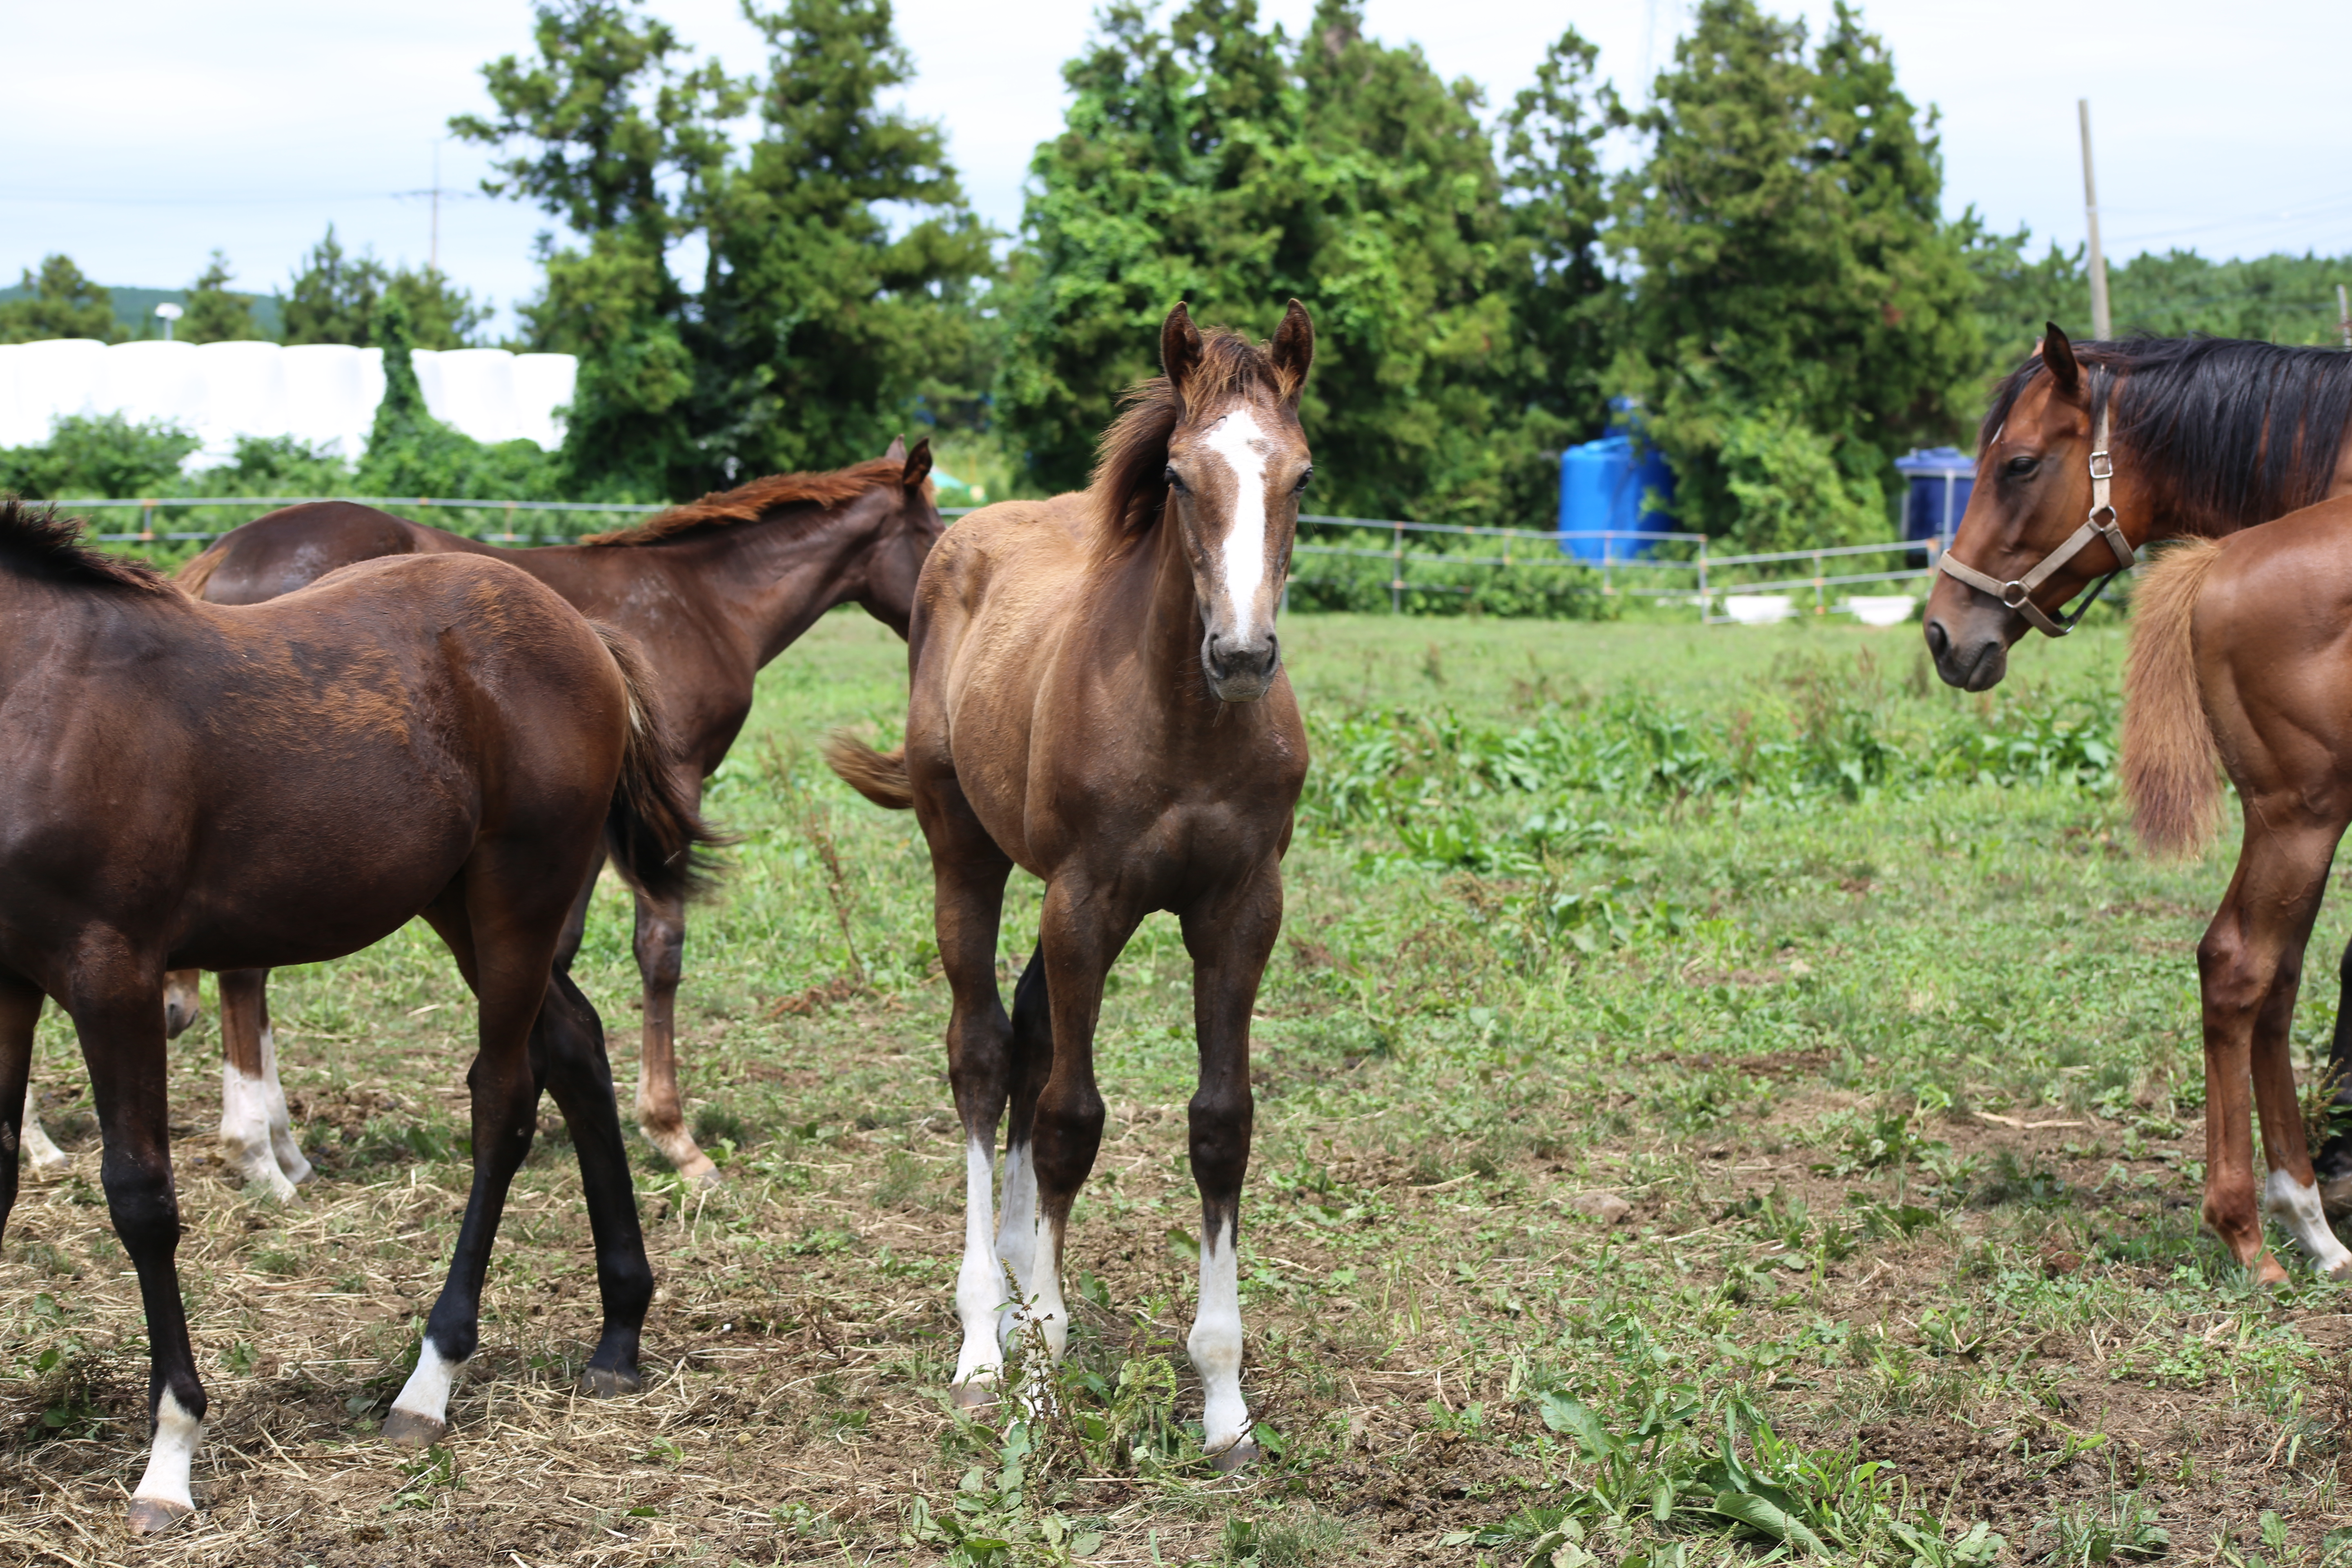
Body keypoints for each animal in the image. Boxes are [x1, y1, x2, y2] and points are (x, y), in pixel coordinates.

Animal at [0, 503, 715, 1532]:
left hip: (520, 892)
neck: (38, 695)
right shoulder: (9, 977)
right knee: (576, 1044)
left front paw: (170, 1457)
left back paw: (431, 1381)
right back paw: (619, 1331)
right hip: (459, 902)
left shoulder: (111, 970)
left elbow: (140, 1198)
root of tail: (578, 626)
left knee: (504, 1099)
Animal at [20, 435, 936, 1194]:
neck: (699, 604)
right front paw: (674, 1139)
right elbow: (659, 948)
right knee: (246, 973)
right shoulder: (672, 790)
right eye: (935, 532)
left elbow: (559, 946)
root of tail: (221, 555)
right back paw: (257, 1153)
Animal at [828, 305, 1317, 1476]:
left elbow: (1220, 1123)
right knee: (980, 1055)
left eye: (1302, 476)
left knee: (1025, 1035)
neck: (1184, 721)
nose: (1243, 655)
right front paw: (1042, 1377)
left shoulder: (1241, 909)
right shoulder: (1086, 903)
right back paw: (981, 1336)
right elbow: (1069, 1119)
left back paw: (1012, 1292)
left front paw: (1225, 1408)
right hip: (968, 853)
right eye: (1180, 477)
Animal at [2126, 501, 2352, 1288]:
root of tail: (2219, 559)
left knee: (2271, 974)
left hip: (2286, 819)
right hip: (2305, 814)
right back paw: (2252, 1235)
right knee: (2241, 966)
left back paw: (2310, 1228)